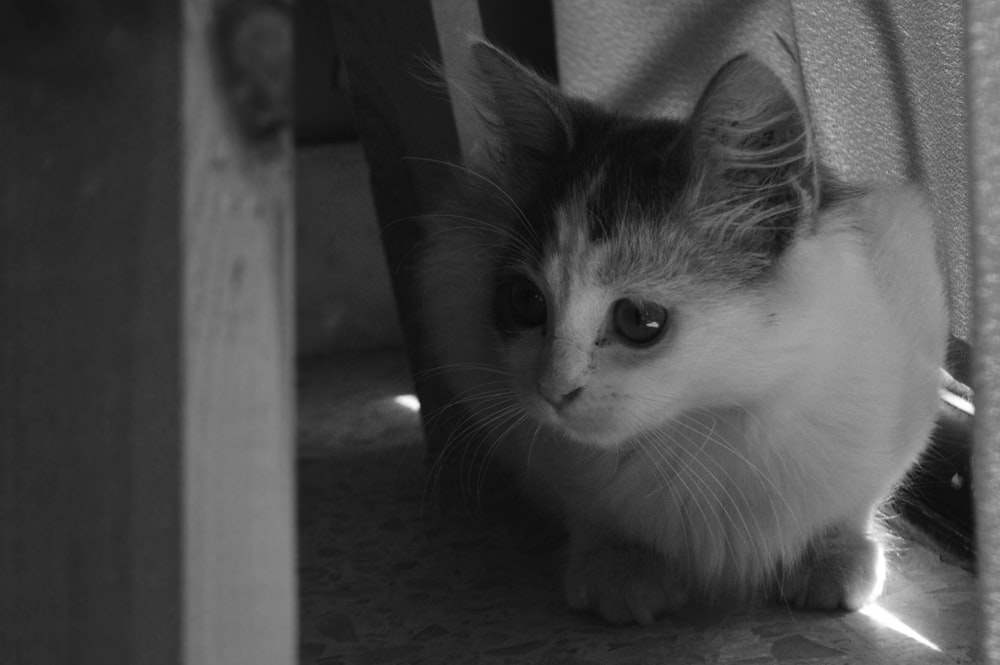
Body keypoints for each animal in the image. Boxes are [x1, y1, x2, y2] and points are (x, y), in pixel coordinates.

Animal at [418, 41, 948, 624]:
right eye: (525, 302)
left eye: (639, 321)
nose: (551, 391)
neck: (703, 423)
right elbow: (586, 505)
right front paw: (620, 563)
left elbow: (859, 496)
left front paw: (834, 552)